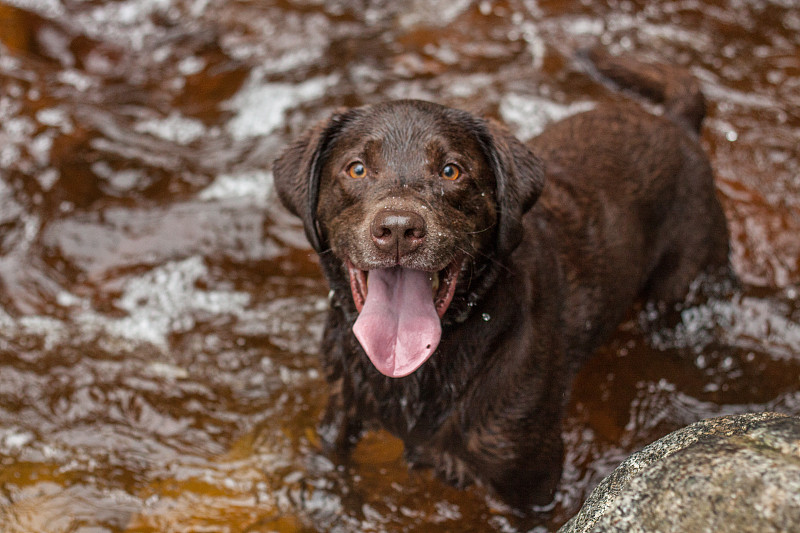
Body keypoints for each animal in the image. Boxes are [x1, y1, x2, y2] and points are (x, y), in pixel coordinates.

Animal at [272, 48, 728, 508]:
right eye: (357, 169)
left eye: (451, 171)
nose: (399, 228)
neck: (410, 378)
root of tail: (677, 123)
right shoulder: (339, 413)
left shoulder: (532, 481)